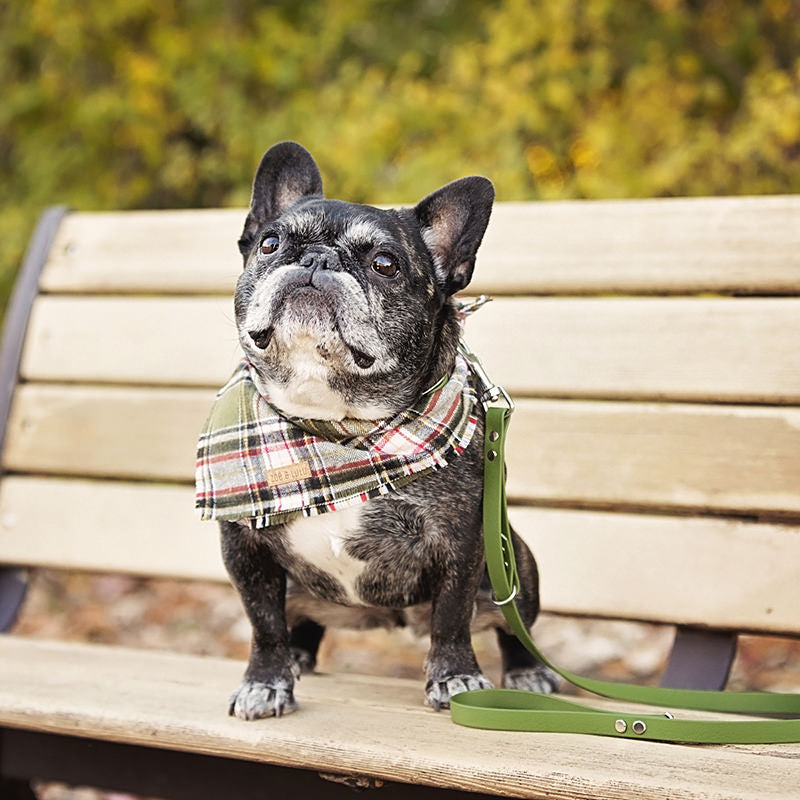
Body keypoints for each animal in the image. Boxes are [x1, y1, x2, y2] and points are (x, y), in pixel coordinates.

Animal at [212, 139, 556, 720]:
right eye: (270, 243)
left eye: (385, 264)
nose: (317, 258)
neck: (335, 423)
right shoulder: (245, 547)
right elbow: (263, 623)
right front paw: (265, 681)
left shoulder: (461, 542)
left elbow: (451, 618)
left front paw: (455, 677)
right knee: (297, 620)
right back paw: (298, 658)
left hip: (516, 563)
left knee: (512, 626)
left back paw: (527, 672)